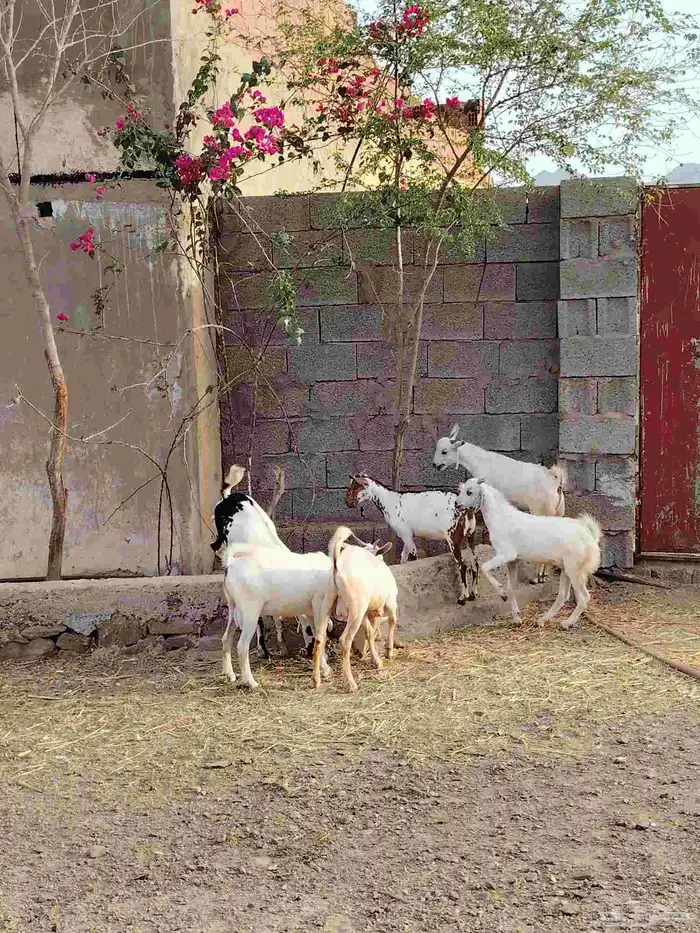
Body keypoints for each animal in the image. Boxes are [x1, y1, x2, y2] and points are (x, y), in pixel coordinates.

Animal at [315, 526, 398, 693]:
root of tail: (338, 566)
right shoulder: (389, 602)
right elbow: (391, 621)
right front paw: (389, 651)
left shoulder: (365, 614)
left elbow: (370, 632)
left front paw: (376, 660)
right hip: (356, 608)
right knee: (344, 641)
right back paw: (351, 683)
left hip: (329, 600)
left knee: (320, 637)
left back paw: (316, 681)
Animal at [345, 473, 478, 605]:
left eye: (354, 487)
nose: (347, 503)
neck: (390, 501)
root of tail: (467, 509)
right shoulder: (406, 535)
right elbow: (403, 557)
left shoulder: (405, 534)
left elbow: (413, 557)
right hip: (470, 535)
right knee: (475, 562)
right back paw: (473, 595)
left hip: (452, 538)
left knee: (463, 566)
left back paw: (463, 598)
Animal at [432, 423, 567, 584]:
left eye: (444, 451)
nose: (435, 465)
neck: (481, 461)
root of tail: (555, 482)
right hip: (558, 512)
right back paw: (544, 574)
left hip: (540, 509)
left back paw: (537, 576)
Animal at [457, 478, 601, 629]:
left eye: (469, 492)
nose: (457, 504)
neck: (501, 519)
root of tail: (590, 537)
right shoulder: (512, 561)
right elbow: (511, 588)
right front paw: (516, 617)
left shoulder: (506, 554)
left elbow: (485, 568)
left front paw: (502, 594)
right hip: (566, 569)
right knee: (563, 595)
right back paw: (542, 620)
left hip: (575, 570)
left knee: (584, 597)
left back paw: (566, 623)